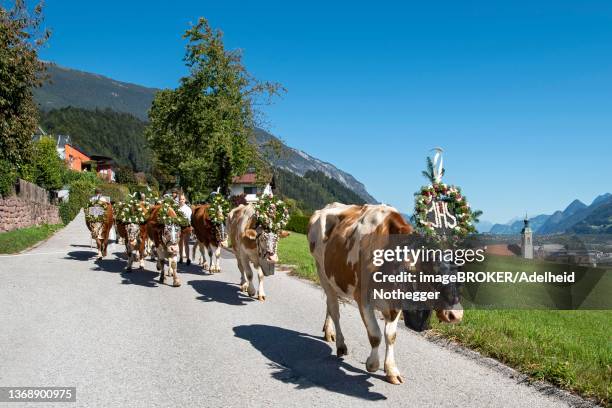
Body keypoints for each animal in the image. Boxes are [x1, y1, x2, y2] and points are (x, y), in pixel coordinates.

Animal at [308, 204, 462, 386]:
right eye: (432, 271)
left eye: (458, 274)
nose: (456, 315)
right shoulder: (363, 298)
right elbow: (375, 335)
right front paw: (373, 364)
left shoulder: (396, 300)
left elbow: (391, 336)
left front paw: (391, 370)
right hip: (322, 272)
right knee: (334, 310)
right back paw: (340, 344)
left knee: (330, 306)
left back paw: (328, 332)